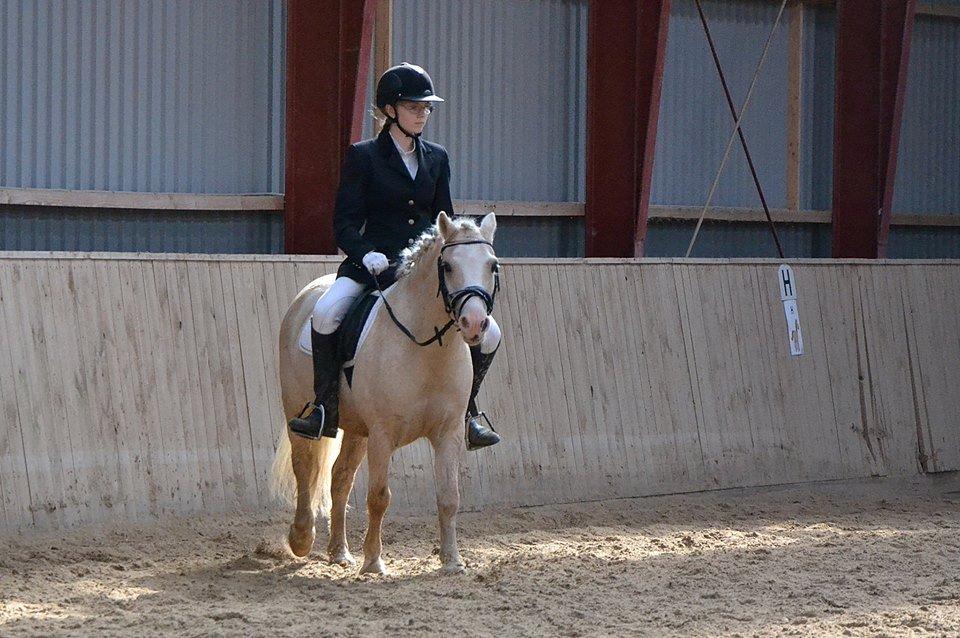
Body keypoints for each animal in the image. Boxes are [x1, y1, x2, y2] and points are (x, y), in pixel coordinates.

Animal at [270, 212, 500, 575]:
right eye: (447, 266)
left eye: (492, 266)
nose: (475, 323)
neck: (427, 347)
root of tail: (307, 295)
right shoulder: (383, 434)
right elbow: (379, 497)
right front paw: (374, 563)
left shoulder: (447, 432)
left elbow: (449, 496)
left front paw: (452, 561)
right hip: (299, 409)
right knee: (304, 469)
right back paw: (302, 538)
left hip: (355, 428)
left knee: (340, 478)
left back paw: (339, 552)